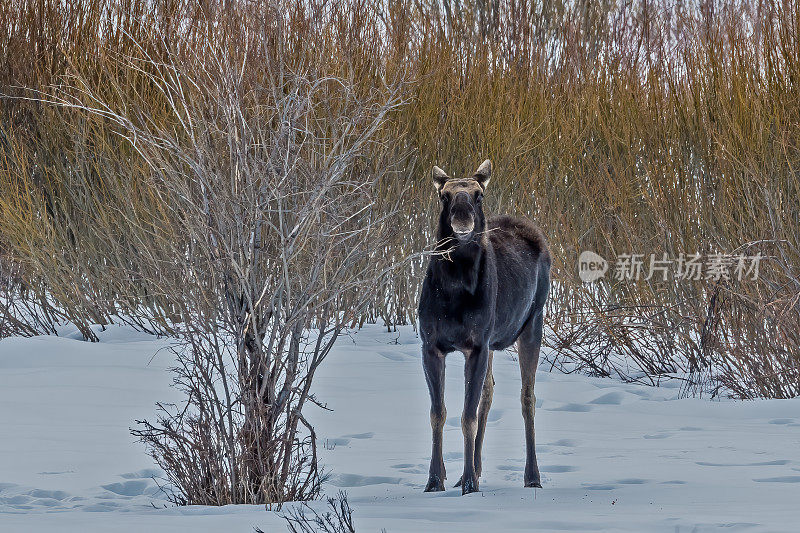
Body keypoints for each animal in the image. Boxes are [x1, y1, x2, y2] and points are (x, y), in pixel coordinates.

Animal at [418, 159, 552, 494]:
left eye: (479, 194)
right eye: (444, 195)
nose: (462, 216)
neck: (454, 290)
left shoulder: (476, 344)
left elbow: (467, 417)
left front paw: (469, 484)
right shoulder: (431, 345)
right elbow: (438, 414)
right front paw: (435, 479)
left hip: (533, 322)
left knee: (527, 397)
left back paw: (532, 476)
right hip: (493, 342)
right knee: (488, 394)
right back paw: (476, 469)